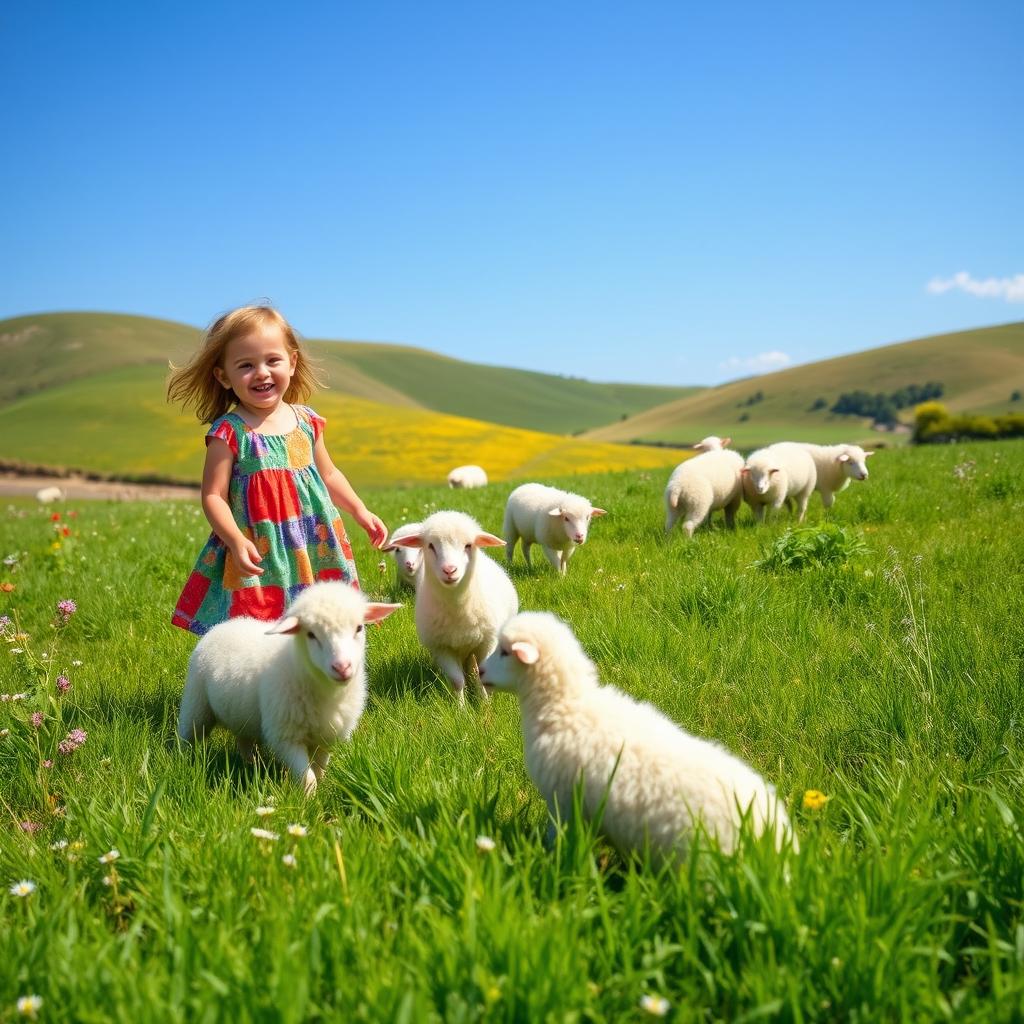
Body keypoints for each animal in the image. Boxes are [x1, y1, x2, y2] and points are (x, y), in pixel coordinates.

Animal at [176, 585, 399, 790]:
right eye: (311, 634)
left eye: (359, 628)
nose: (342, 667)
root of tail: (224, 624)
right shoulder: (285, 738)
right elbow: (307, 779)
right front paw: (310, 801)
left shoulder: (328, 735)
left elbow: (320, 768)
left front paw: (322, 785)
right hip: (196, 703)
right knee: (187, 735)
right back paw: (182, 761)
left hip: (241, 714)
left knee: (244, 740)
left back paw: (251, 764)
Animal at [391, 507, 520, 700]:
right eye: (430, 546)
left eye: (468, 545)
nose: (449, 570)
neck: (457, 605)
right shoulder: (441, 648)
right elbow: (457, 681)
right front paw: (461, 706)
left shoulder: (487, 642)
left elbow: (481, 676)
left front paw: (485, 705)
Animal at [477, 610, 790, 860]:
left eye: (505, 652)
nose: (479, 671)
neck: (566, 706)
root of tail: (775, 835)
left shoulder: (562, 801)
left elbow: (558, 836)